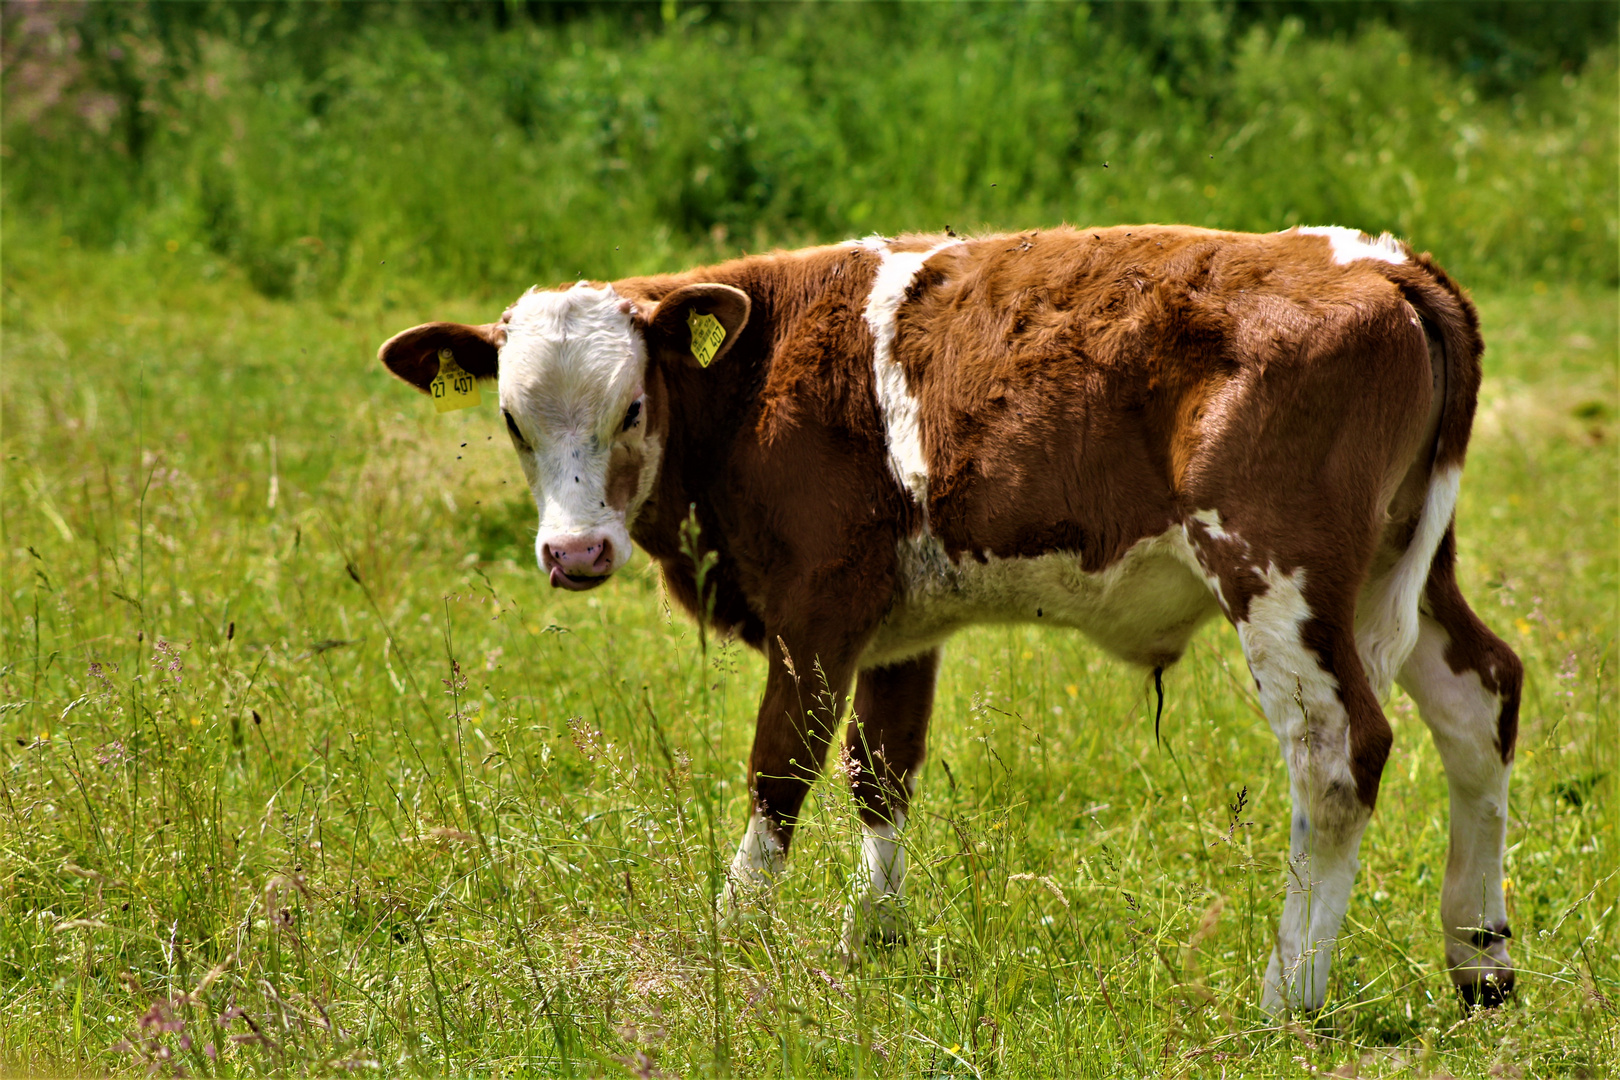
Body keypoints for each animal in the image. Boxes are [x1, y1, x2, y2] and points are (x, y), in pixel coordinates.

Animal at [375, 226, 1516, 1016]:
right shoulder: (900, 629)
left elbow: (782, 766)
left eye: (633, 408)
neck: (758, 377)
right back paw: (1479, 958)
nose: (574, 555)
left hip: (1279, 571)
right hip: (1405, 567)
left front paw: (732, 935)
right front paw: (870, 942)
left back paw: (1285, 995)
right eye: (512, 422)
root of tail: (1382, 262)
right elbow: (882, 772)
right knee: (1482, 698)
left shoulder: (820, 606)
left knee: (1335, 754)